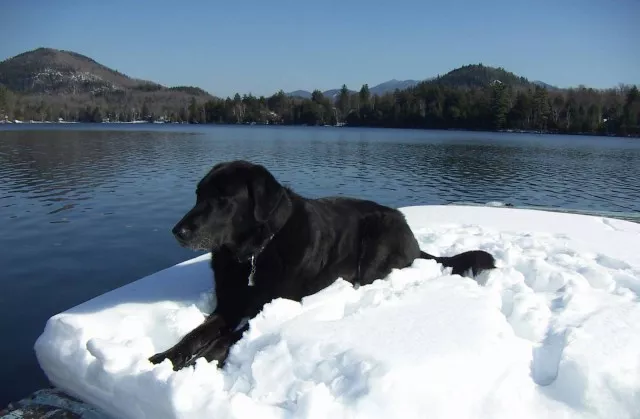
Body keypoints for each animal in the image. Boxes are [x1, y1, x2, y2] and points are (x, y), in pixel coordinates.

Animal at [149, 161, 496, 370]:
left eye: (223, 199)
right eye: (198, 195)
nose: (178, 231)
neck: (254, 253)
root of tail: (414, 240)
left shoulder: (270, 306)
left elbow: (225, 338)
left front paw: (201, 362)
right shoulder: (229, 304)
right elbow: (195, 333)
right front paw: (167, 358)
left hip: (379, 233)